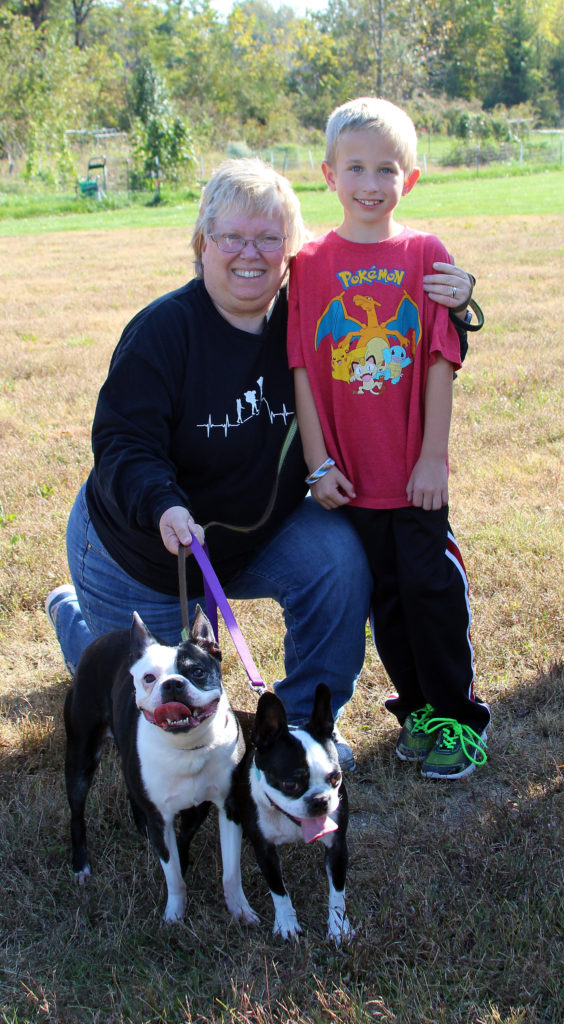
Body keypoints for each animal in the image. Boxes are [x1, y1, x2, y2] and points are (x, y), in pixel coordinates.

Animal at [64, 602, 258, 925]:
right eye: (149, 678)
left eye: (197, 671)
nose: (173, 684)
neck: (186, 747)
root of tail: (101, 640)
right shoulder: (161, 817)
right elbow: (173, 875)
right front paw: (175, 913)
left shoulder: (225, 808)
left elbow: (230, 871)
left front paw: (239, 909)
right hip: (81, 756)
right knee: (77, 813)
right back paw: (81, 865)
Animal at [227, 684, 350, 937]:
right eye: (290, 784)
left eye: (336, 778)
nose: (320, 800)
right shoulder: (265, 850)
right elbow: (278, 890)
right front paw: (287, 924)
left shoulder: (337, 846)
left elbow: (337, 891)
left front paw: (339, 927)